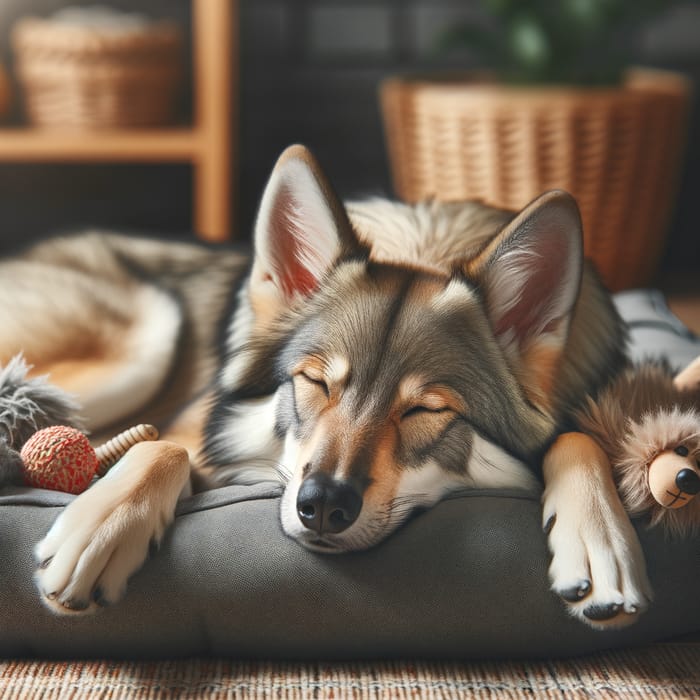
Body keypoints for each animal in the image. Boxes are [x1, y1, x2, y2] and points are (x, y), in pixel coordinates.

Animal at [0, 145, 652, 628]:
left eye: (424, 409)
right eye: (315, 381)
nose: (322, 506)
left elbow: (580, 438)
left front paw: (602, 539)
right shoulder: (197, 429)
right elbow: (161, 445)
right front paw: (99, 527)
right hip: (147, 337)